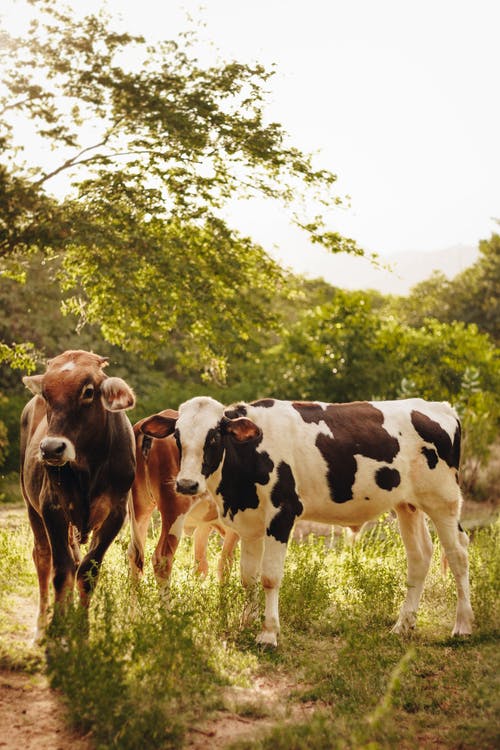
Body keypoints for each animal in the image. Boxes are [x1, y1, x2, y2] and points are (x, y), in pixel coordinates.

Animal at [20, 352, 136, 640]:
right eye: (47, 394)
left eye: (88, 391)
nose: (52, 448)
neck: (88, 467)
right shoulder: (52, 507)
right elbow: (61, 571)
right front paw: (56, 629)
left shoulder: (116, 514)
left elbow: (87, 572)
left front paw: (81, 630)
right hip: (30, 505)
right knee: (43, 557)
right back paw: (41, 625)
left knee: (74, 562)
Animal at [128, 412, 239, 600]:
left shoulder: (205, 525)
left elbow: (201, 566)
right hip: (174, 512)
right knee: (161, 558)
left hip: (141, 509)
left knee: (134, 555)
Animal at [140, 396, 472, 648]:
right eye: (178, 437)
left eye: (214, 436)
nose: (186, 484)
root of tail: (439, 407)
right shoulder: (249, 524)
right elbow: (247, 577)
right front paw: (246, 623)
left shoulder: (282, 514)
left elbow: (269, 577)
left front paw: (269, 633)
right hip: (408, 505)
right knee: (419, 557)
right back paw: (403, 625)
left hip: (443, 500)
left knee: (458, 554)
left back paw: (462, 626)